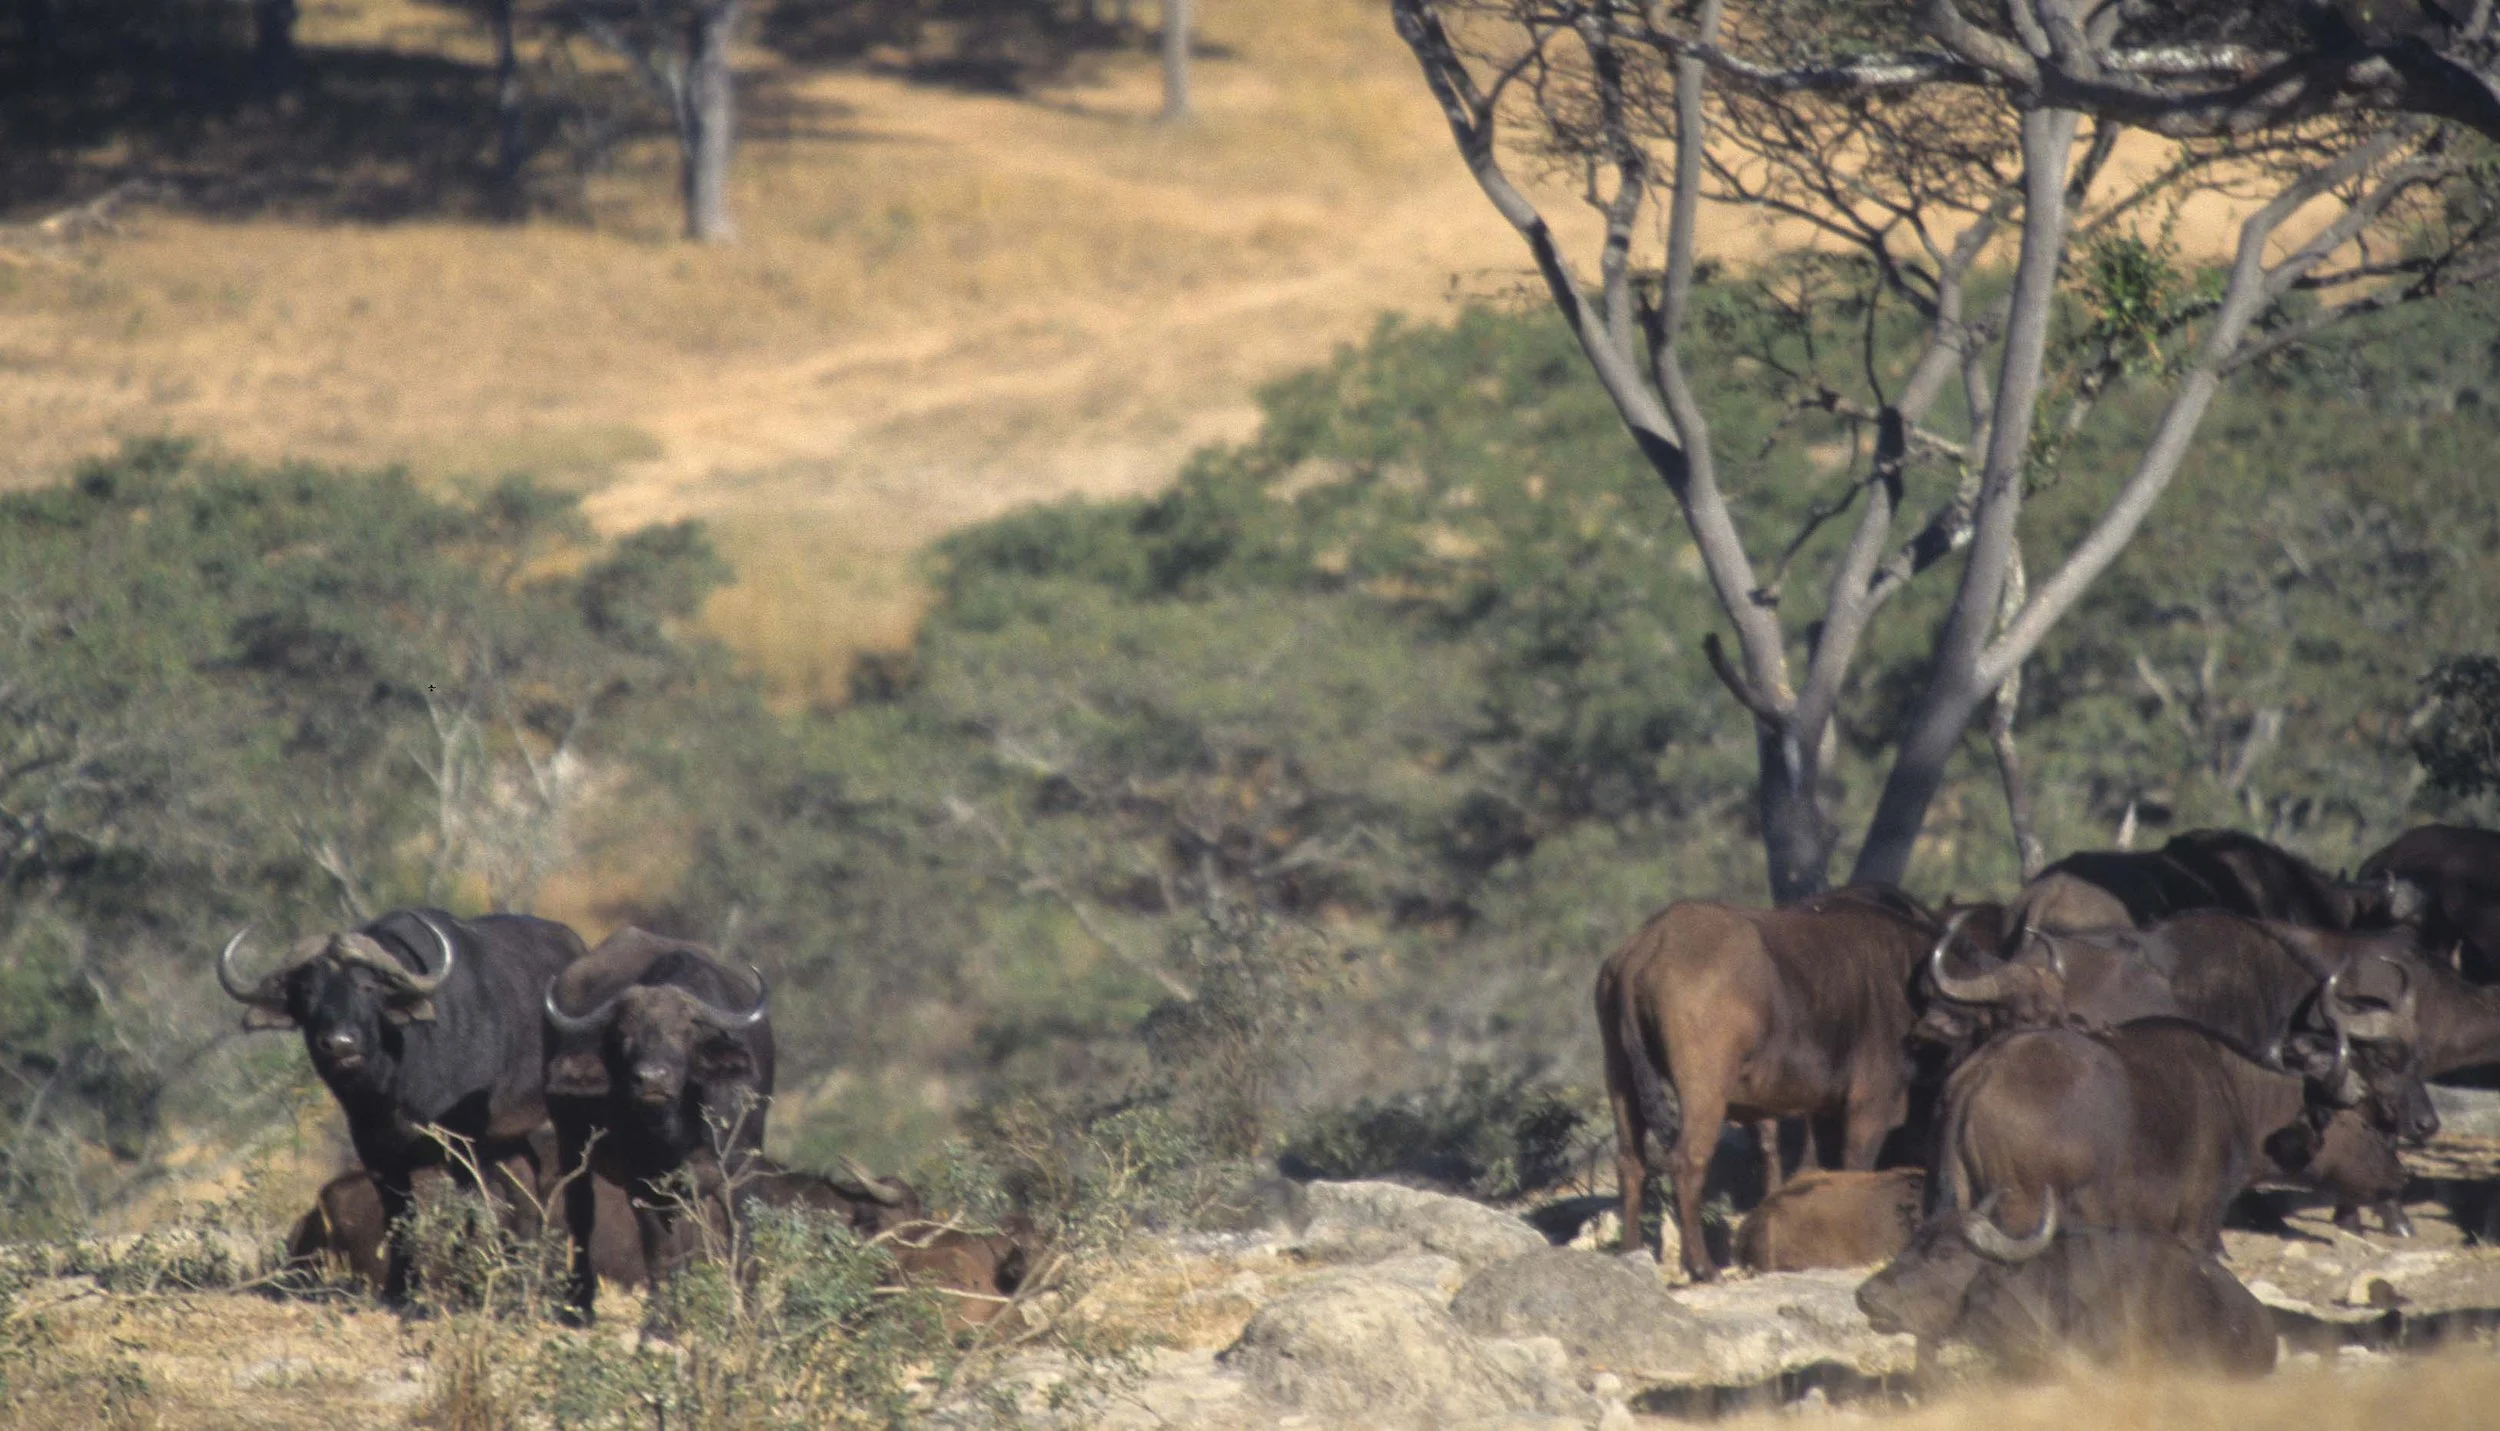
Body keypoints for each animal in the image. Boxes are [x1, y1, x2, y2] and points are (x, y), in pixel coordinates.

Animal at [220, 908, 586, 1303]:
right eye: (307, 991)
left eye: (367, 987)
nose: (340, 1043)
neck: (395, 1081)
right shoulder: (377, 1156)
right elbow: (399, 1218)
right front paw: (400, 1288)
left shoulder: (463, 1147)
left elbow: (472, 1213)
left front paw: (465, 1284)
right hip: (507, 1139)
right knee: (526, 1186)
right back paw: (524, 1274)